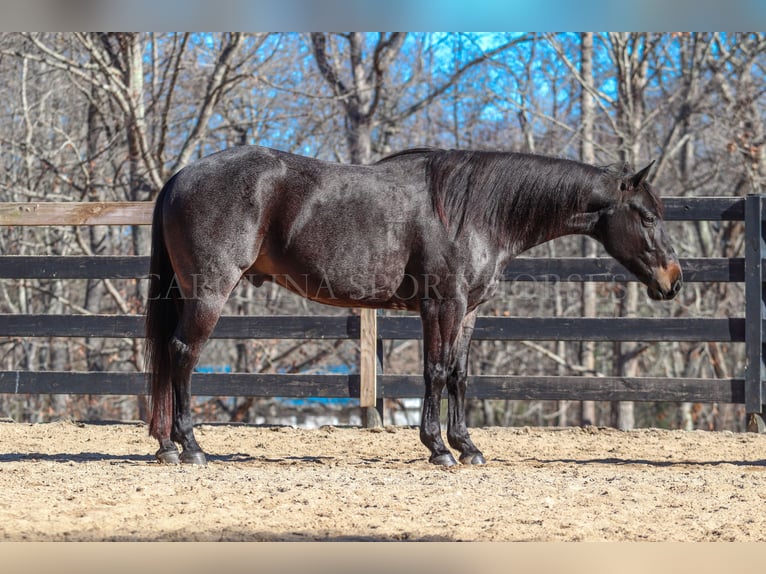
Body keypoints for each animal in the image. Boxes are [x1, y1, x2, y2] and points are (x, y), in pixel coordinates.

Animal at [144, 145, 684, 468]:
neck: (477, 211)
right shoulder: (442, 306)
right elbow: (436, 371)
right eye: (646, 216)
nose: (674, 281)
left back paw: (166, 444)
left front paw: (468, 447)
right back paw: (189, 446)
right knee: (182, 354)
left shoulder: (469, 310)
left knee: (171, 355)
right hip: (210, 292)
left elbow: (461, 375)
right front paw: (438, 448)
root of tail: (180, 176)